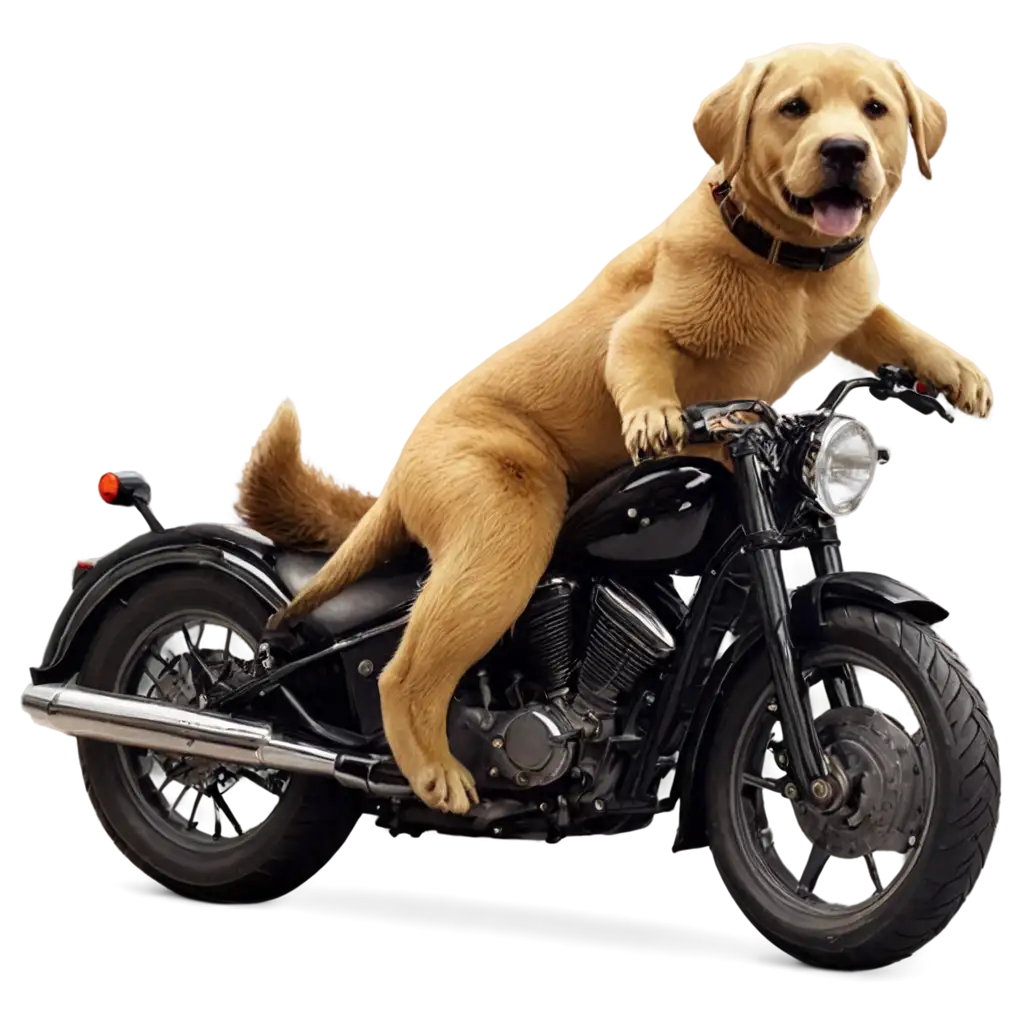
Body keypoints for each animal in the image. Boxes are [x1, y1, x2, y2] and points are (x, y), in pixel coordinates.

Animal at [237, 44, 991, 815]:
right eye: (794, 108)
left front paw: (953, 370)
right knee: (400, 670)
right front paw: (657, 417)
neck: (794, 270)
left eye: (875, 109)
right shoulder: (650, 326)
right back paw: (428, 773)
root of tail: (398, 472)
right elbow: (634, 350)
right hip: (502, 518)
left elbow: (884, 324)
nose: (844, 150)